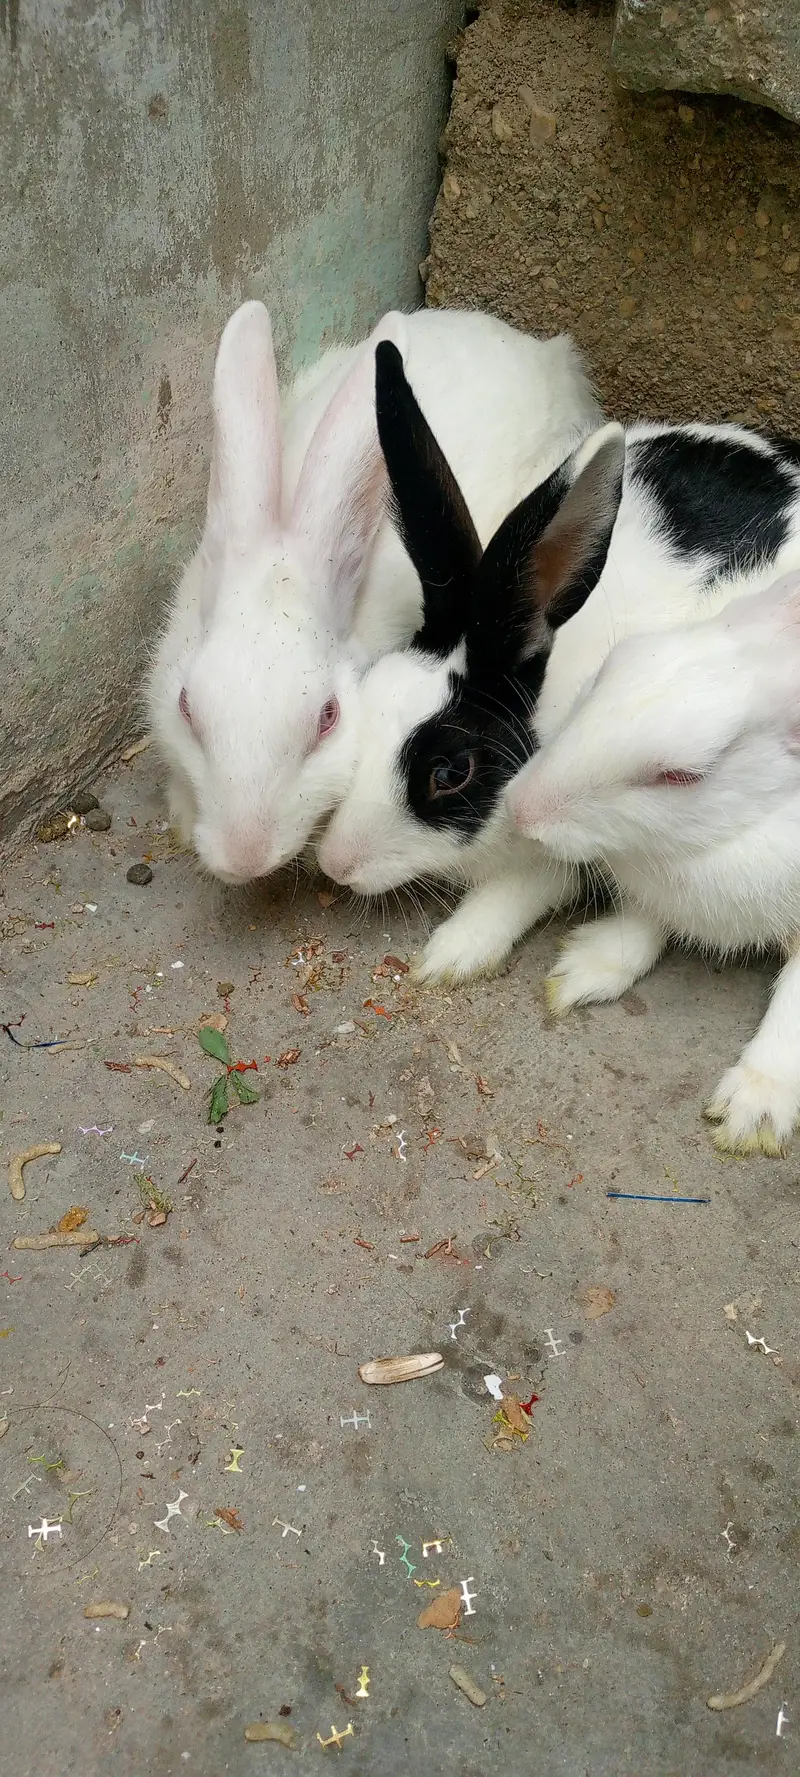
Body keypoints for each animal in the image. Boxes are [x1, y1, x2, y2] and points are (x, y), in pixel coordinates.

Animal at [316, 343, 800, 990]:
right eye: (367, 696)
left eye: (451, 773)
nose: (335, 864)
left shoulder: (559, 857)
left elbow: (520, 891)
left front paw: (450, 955)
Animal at [507, 570, 800, 1155]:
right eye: (613, 664)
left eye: (682, 776)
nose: (519, 811)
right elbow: (646, 919)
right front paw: (584, 970)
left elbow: (795, 1006)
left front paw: (752, 1113)